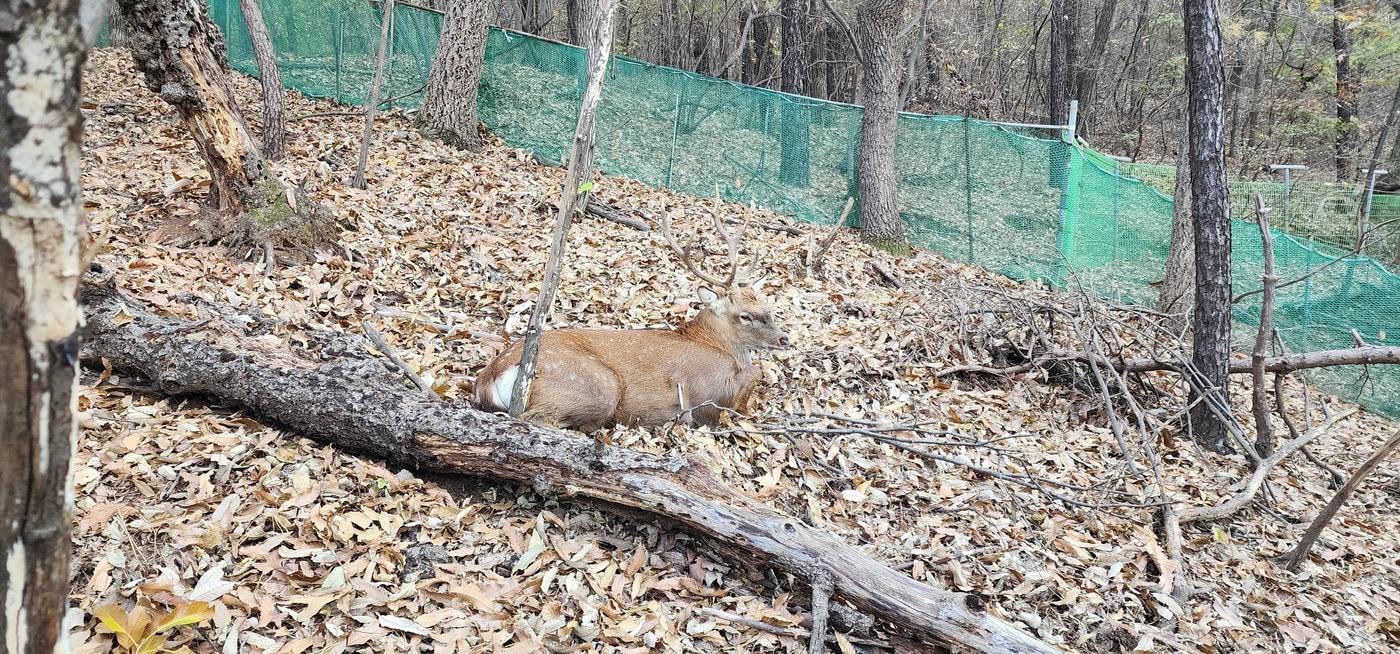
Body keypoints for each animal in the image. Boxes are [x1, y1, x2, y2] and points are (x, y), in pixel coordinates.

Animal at [476, 205, 789, 431]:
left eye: (768, 306)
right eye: (745, 316)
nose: (784, 338)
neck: (715, 343)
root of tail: (489, 376)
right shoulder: (708, 394)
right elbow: (754, 374)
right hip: (598, 385)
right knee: (535, 418)